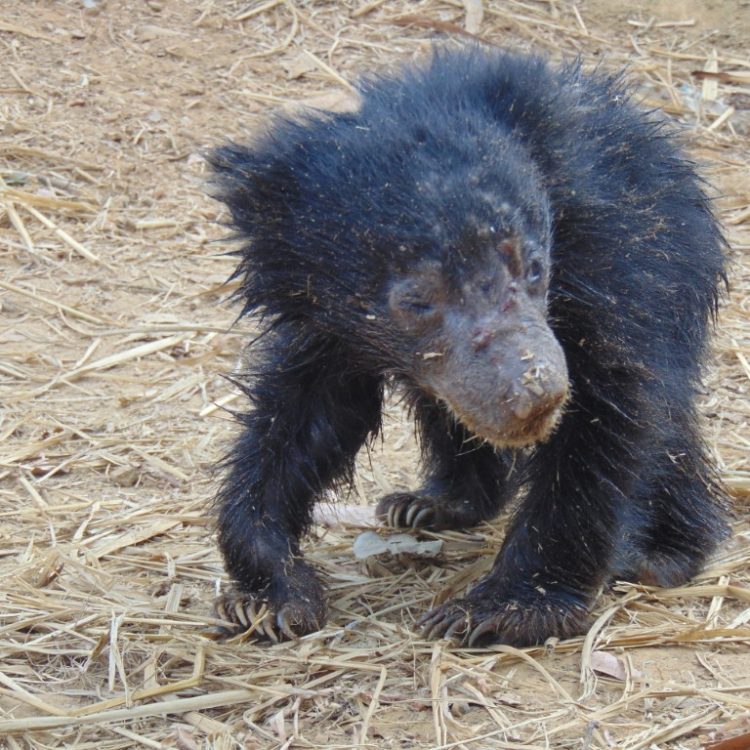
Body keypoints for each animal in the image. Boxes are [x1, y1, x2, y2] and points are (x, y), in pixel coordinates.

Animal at [207, 47, 728, 647]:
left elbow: (610, 410)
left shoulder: (617, 261)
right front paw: (271, 596)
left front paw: (499, 609)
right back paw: (430, 504)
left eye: (534, 268)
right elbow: (307, 419)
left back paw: (662, 552)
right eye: (416, 300)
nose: (536, 394)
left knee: (669, 425)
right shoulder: (326, 322)